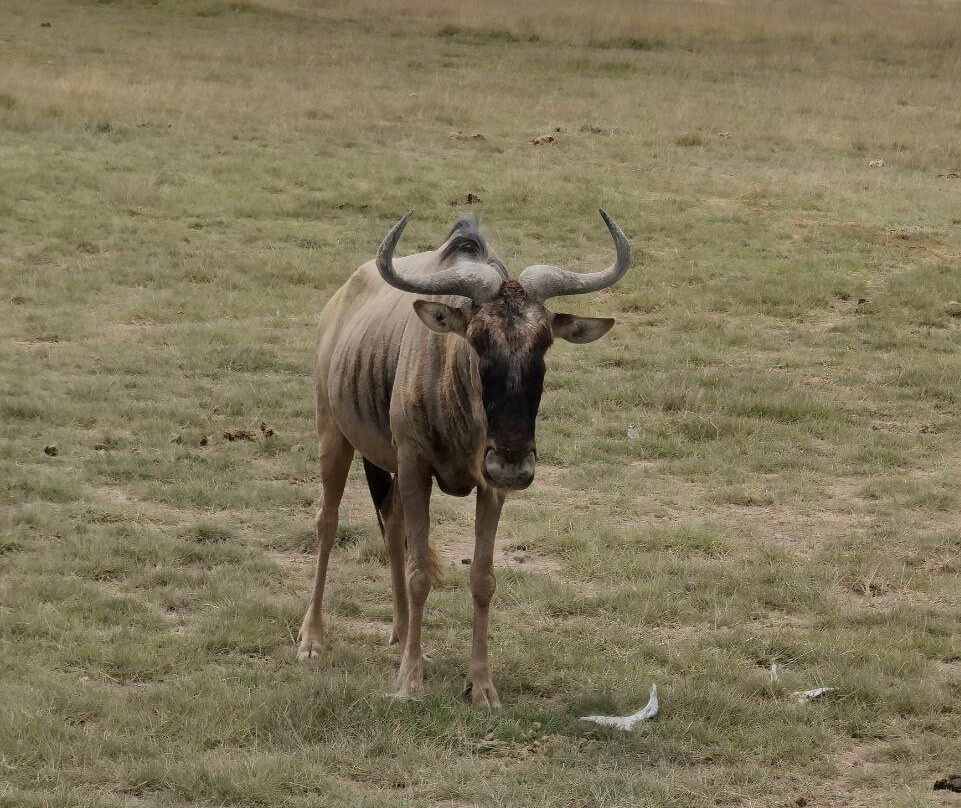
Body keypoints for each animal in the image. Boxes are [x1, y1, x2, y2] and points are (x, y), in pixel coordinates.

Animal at [297, 210, 631, 706]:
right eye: (476, 340)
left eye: (544, 344)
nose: (513, 463)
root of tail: (337, 305)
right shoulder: (415, 467)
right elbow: (419, 573)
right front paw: (409, 683)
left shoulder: (488, 487)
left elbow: (482, 578)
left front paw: (481, 685)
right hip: (333, 437)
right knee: (328, 522)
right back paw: (312, 639)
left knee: (391, 528)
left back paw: (403, 636)